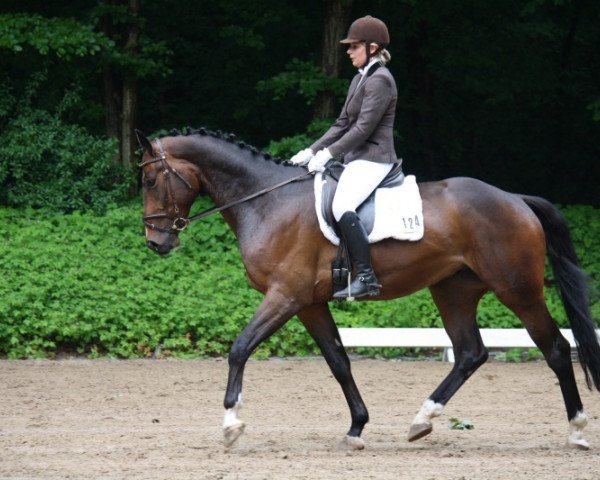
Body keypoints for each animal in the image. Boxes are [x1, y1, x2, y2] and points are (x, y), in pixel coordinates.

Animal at [136, 126, 600, 450]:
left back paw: (577, 431)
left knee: (556, 348)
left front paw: (232, 424)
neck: (265, 201)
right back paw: (421, 420)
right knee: (470, 352)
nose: (156, 243)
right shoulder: (308, 304)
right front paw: (357, 426)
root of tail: (515, 199)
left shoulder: (285, 296)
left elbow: (239, 348)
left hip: (517, 289)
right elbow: (339, 362)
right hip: (453, 291)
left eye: (150, 181)